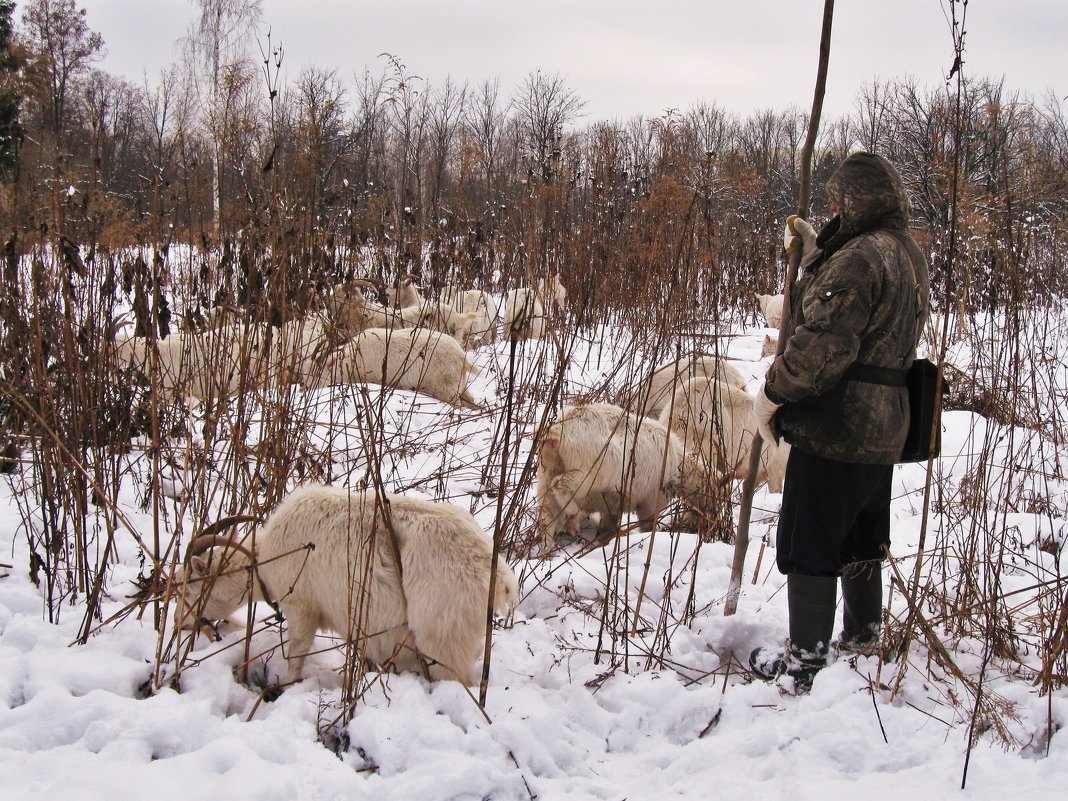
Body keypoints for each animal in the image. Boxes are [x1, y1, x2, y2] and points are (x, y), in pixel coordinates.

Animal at [173, 487, 519, 687]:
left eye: (187, 589)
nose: (179, 624)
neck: (265, 557)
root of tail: (499, 577)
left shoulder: (302, 608)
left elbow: (296, 654)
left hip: (443, 640)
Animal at [534, 401, 717, 551]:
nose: (711, 522)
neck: (680, 464)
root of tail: (556, 431)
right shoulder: (652, 500)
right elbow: (647, 525)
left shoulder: (614, 504)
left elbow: (608, 526)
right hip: (589, 473)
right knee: (559, 485)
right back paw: (573, 516)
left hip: (547, 474)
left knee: (547, 518)